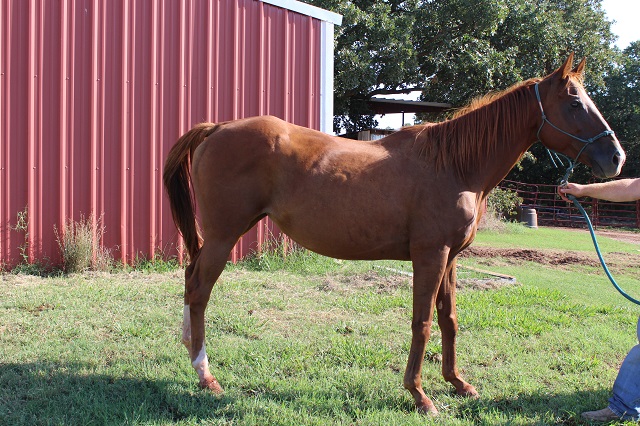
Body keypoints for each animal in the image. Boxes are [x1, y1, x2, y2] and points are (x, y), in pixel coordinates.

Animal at [162, 55, 624, 414]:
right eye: (574, 102)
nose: (616, 158)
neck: (454, 165)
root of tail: (217, 127)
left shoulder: (451, 258)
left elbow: (449, 320)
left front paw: (459, 383)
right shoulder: (430, 255)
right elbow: (422, 323)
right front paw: (420, 395)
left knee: (190, 282)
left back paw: (188, 350)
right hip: (223, 236)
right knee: (199, 291)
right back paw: (206, 375)